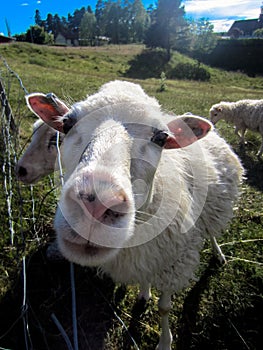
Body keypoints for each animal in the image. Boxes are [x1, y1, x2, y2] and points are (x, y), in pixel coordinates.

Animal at [25, 80, 244, 348]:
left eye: (161, 138)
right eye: (67, 124)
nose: (96, 204)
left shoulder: (174, 263)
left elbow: (164, 307)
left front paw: (165, 342)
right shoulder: (146, 256)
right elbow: (145, 277)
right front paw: (144, 293)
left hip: (216, 205)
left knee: (212, 230)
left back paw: (219, 254)